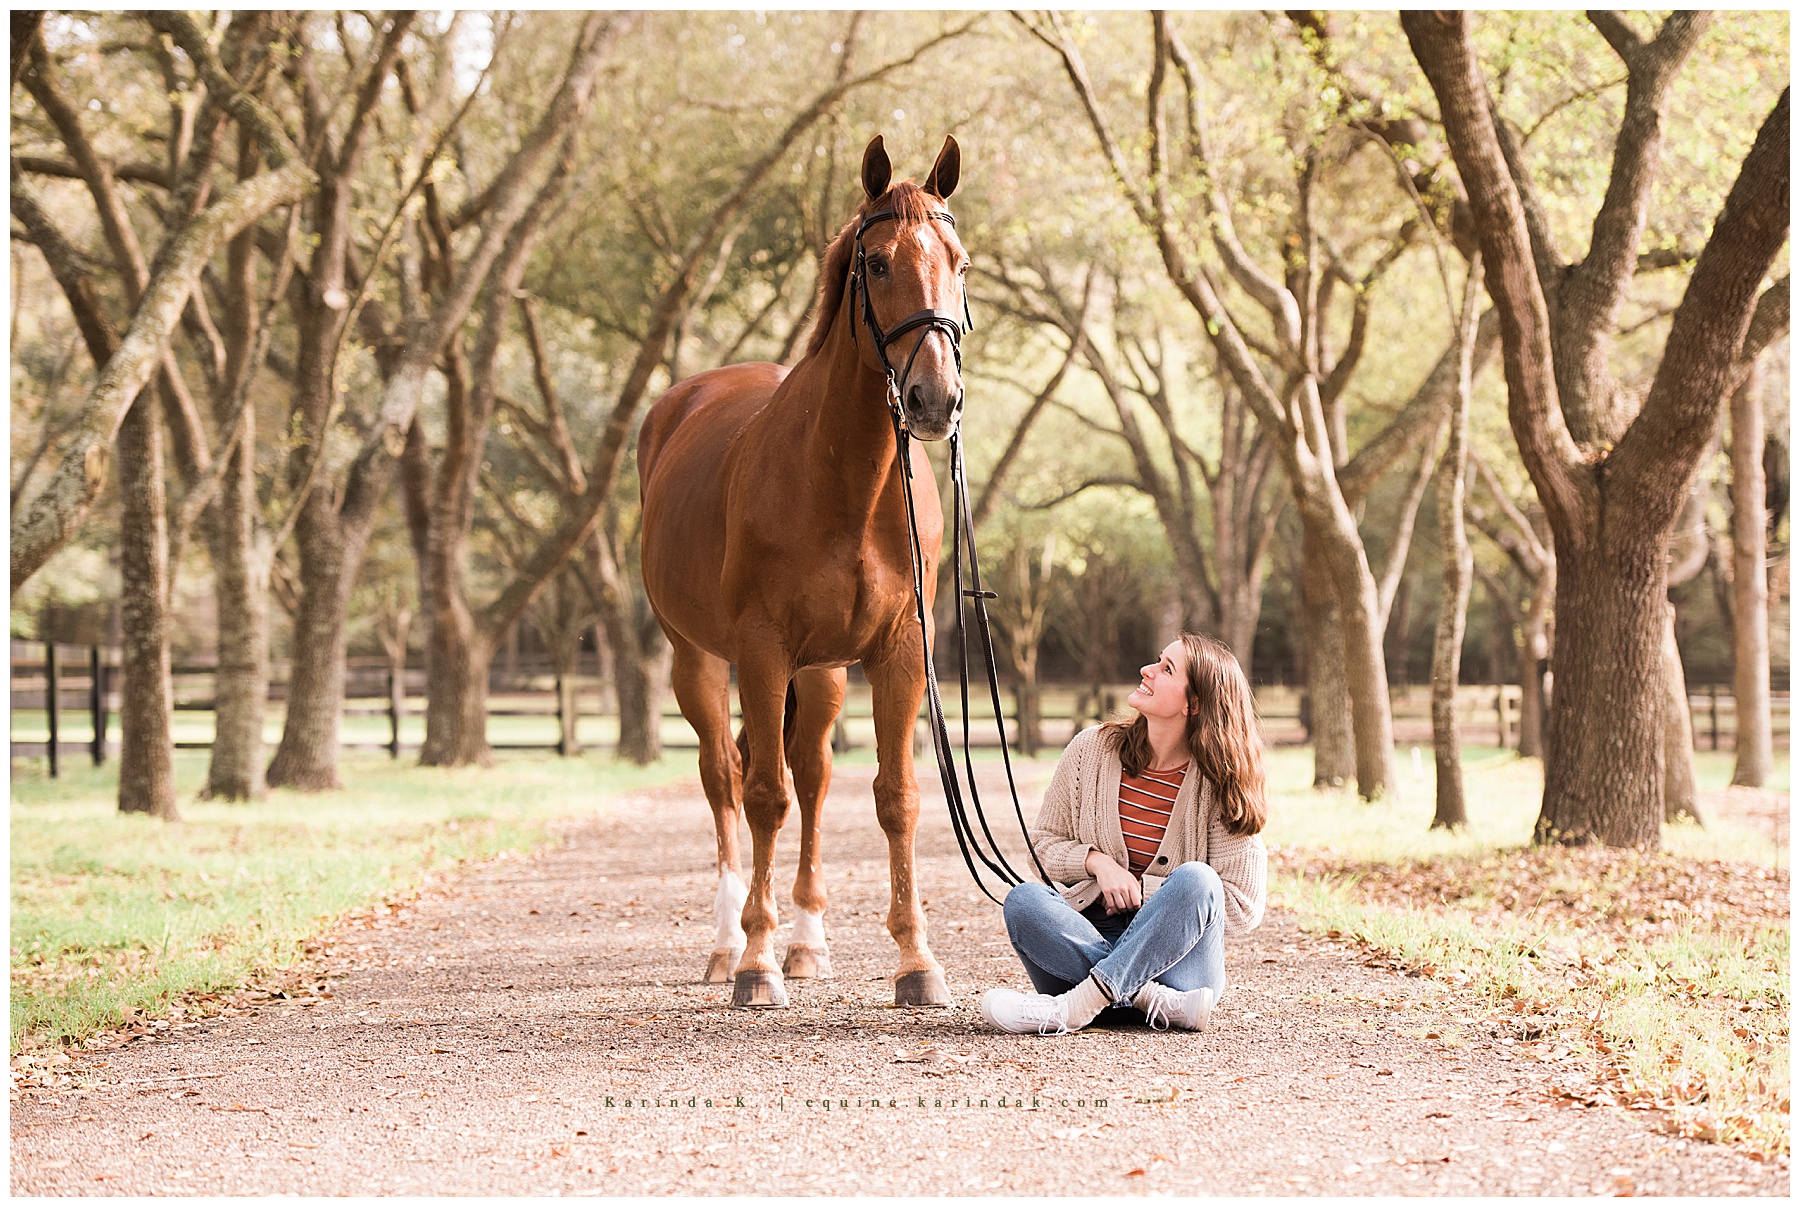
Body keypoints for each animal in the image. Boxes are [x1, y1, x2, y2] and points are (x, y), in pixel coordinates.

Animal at [637, 134, 967, 1009]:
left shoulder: (897, 652)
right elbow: (762, 796)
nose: (934, 399)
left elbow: (895, 795)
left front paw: (915, 959)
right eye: (877, 263)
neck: (845, 481)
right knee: (725, 778)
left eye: (959, 261)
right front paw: (756, 961)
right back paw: (729, 944)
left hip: (821, 674)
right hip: (697, 660)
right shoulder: (760, 649)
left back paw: (809, 941)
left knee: (813, 775)